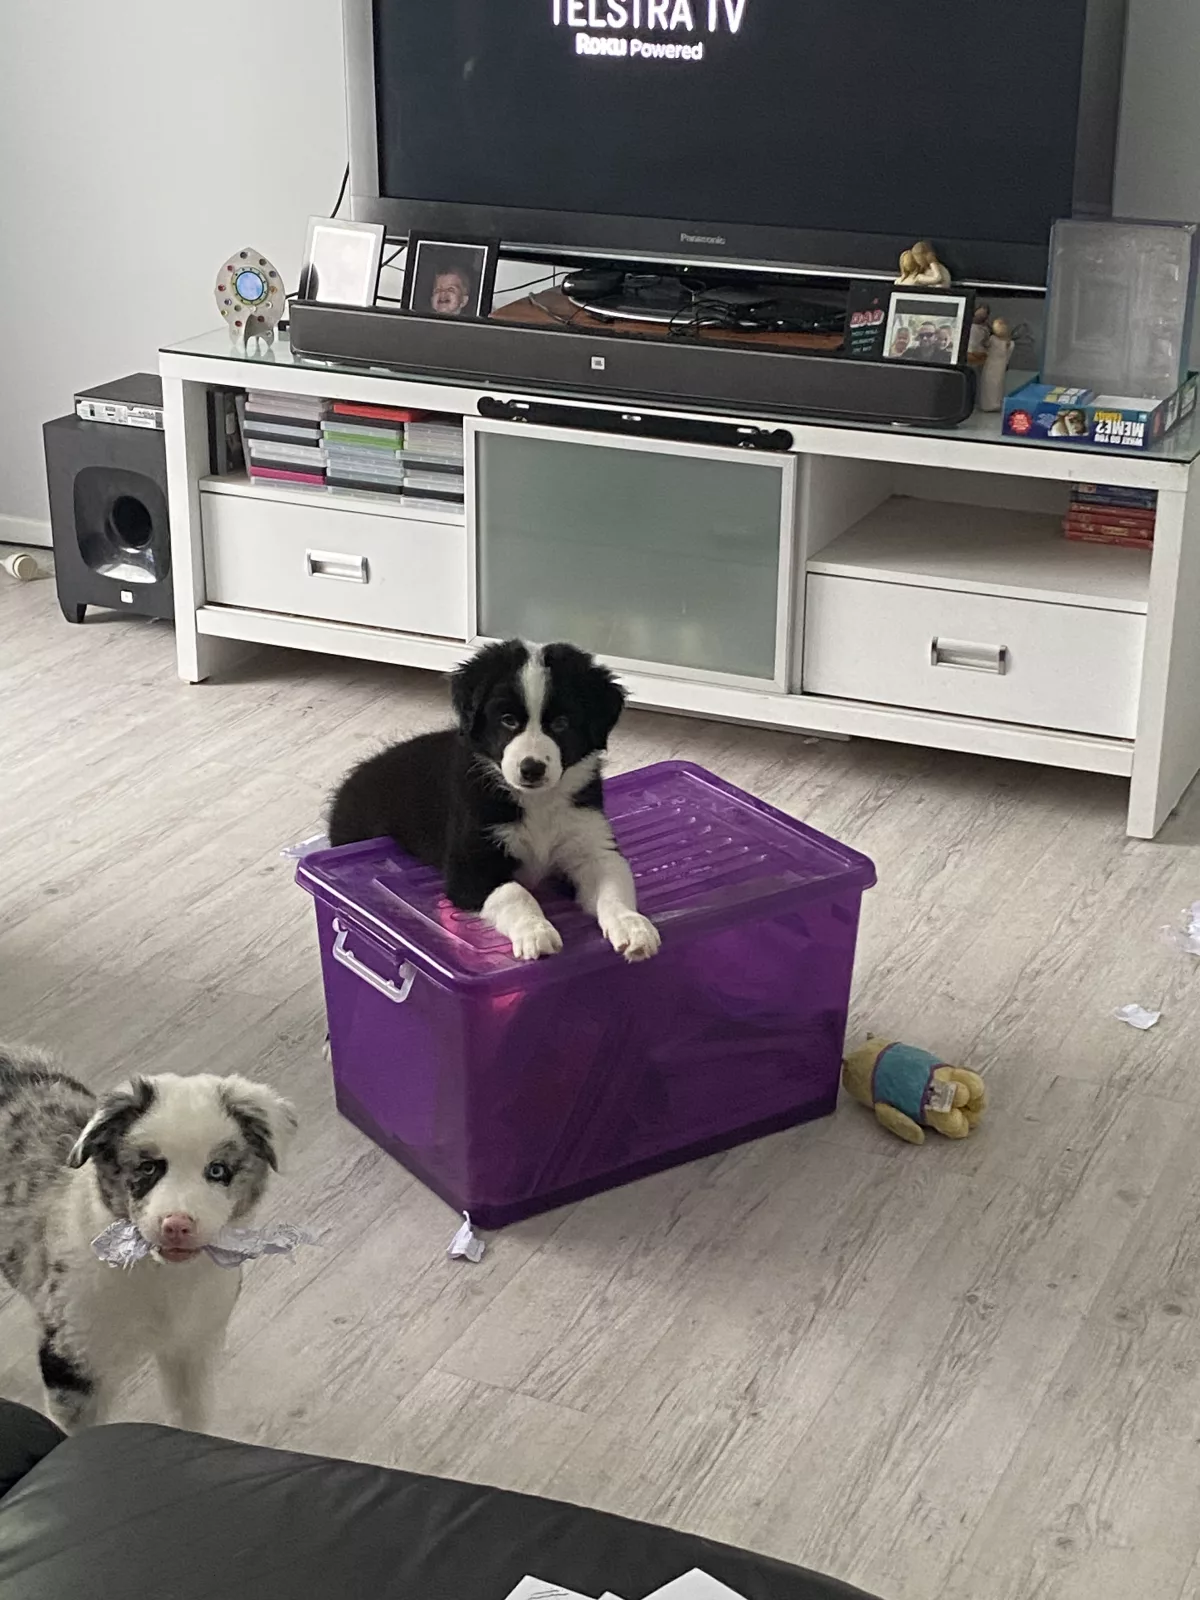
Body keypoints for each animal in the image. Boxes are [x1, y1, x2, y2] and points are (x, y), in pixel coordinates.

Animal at [0, 1044, 295, 1432]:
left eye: (218, 1170)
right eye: (148, 1167)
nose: (177, 1225)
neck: (158, 1276)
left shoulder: (192, 1346)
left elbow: (190, 1417)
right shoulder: (71, 1361)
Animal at [328, 639, 660, 962]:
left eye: (562, 723)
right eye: (508, 720)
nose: (531, 768)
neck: (537, 802)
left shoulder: (592, 847)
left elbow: (613, 886)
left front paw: (633, 927)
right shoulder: (469, 865)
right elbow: (515, 893)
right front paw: (535, 932)